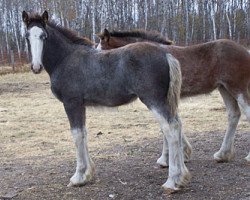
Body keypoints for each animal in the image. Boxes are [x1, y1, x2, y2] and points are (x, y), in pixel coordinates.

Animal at [22, 11, 189, 194]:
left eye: (43, 36)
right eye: (27, 36)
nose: (36, 67)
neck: (65, 59)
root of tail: (166, 54)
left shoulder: (71, 103)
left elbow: (77, 135)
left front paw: (78, 177)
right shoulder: (81, 105)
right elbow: (83, 133)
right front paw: (88, 174)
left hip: (154, 100)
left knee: (170, 129)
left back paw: (172, 181)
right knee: (177, 125)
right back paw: (181, 176)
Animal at [96, 28, 250, 164]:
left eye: (102, 51)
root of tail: (244, 51)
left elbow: (166, 127)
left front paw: (165, 159)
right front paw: (184, 153)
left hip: (237, 88)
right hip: (224, 88)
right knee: (233, 114)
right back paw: (222, 155)